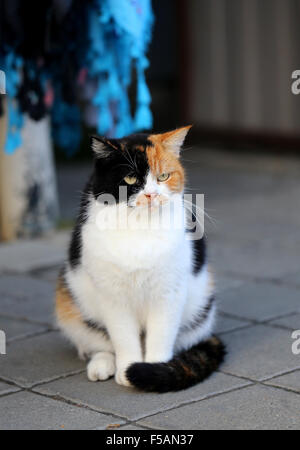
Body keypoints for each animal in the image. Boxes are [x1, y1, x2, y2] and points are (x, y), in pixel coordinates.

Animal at [55, 125, 225, 390]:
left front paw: (154, 370)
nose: (151, 195)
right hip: (67, 299)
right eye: (130, 179)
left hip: (202, 307)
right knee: (99, 341)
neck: (140, 226)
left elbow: (161, 335)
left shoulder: (169, 291)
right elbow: (123, 337)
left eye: (163, 176)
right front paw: (127, 371)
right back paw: (101, 366)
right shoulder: (113, 295)